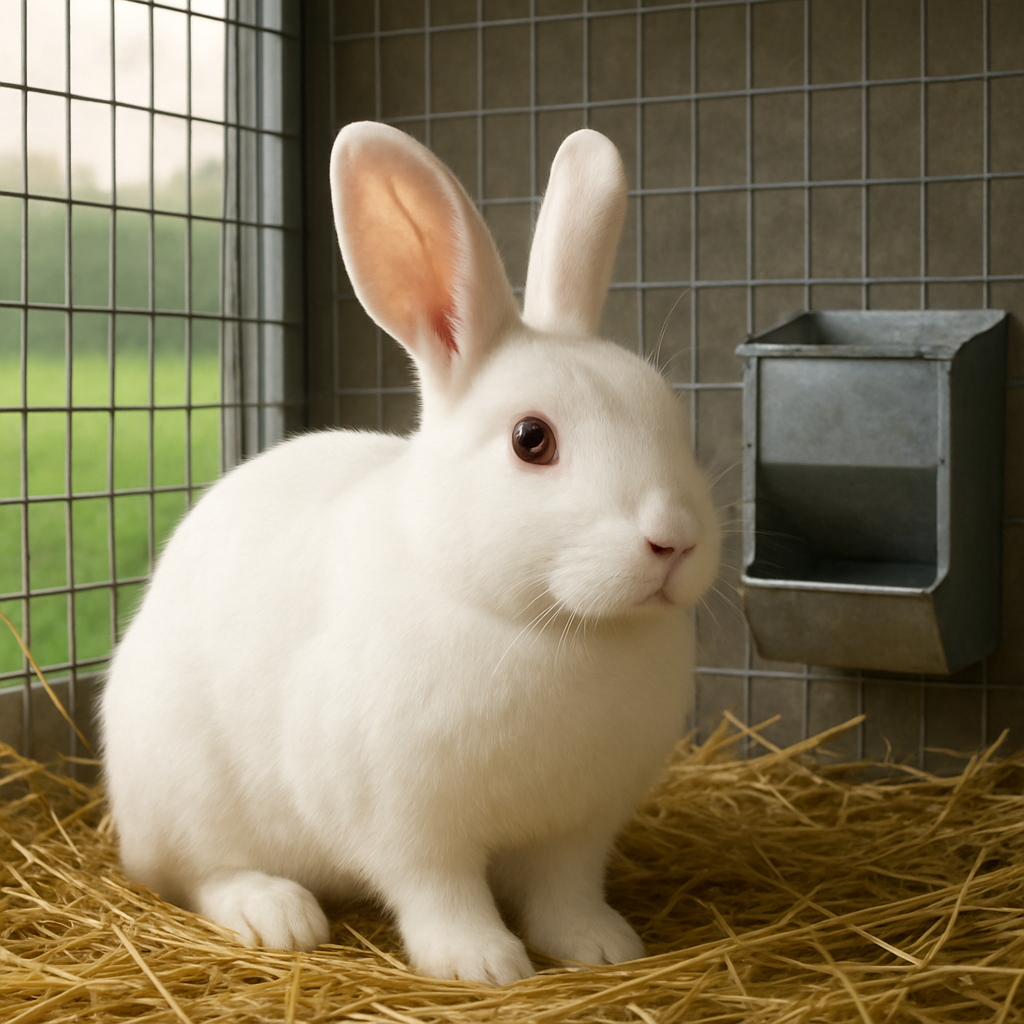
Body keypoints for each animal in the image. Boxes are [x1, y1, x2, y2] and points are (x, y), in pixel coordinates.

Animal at [100, 121, 720, 986]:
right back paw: (278, 913)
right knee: (197, 874)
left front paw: (601, 945)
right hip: (188, 795)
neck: (546, 624)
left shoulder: (579, 825)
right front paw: (482, 964)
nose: (675, 540)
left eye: (670, 416)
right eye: (532, 440)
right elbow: (438, 890)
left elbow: (565, 891)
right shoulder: (406, 820)